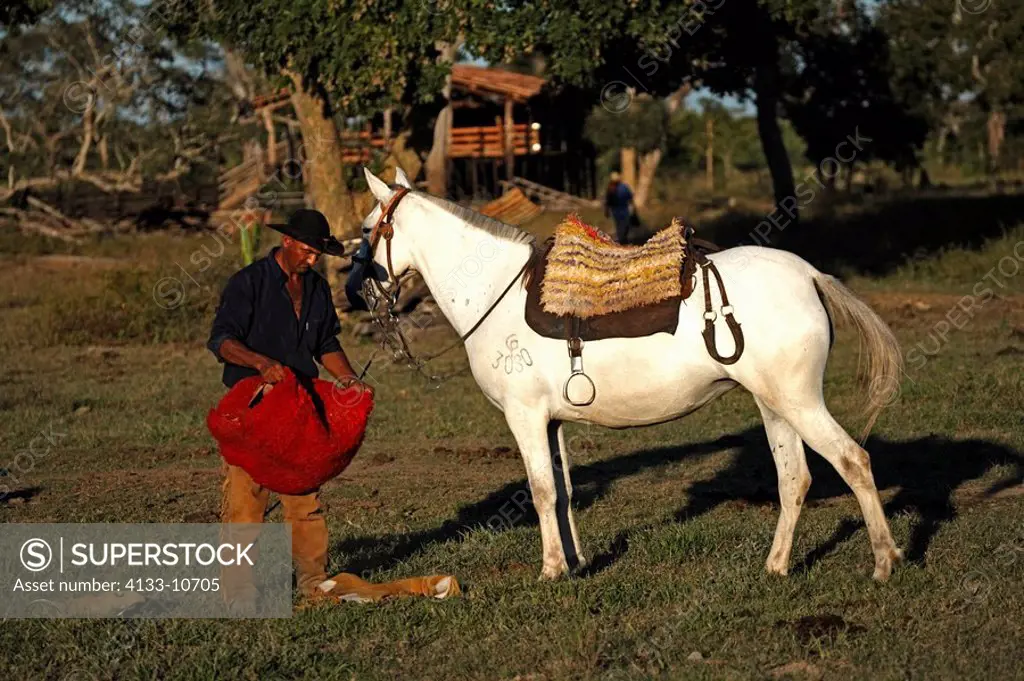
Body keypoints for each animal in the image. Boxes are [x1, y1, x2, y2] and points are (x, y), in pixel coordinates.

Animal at [352, 166, 905, 581]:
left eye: (365, 229)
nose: (356, 293)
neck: (497, 290)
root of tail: (809, 274)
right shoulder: (551, 422)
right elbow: (564, 490)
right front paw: (576, 563)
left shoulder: (525, 417)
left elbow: (541, 491)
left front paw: (551, 570)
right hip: (775, 406)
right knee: (794, 480)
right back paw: (776, 567)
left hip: (800, 402)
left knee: (853, 461)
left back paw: (883, 562)